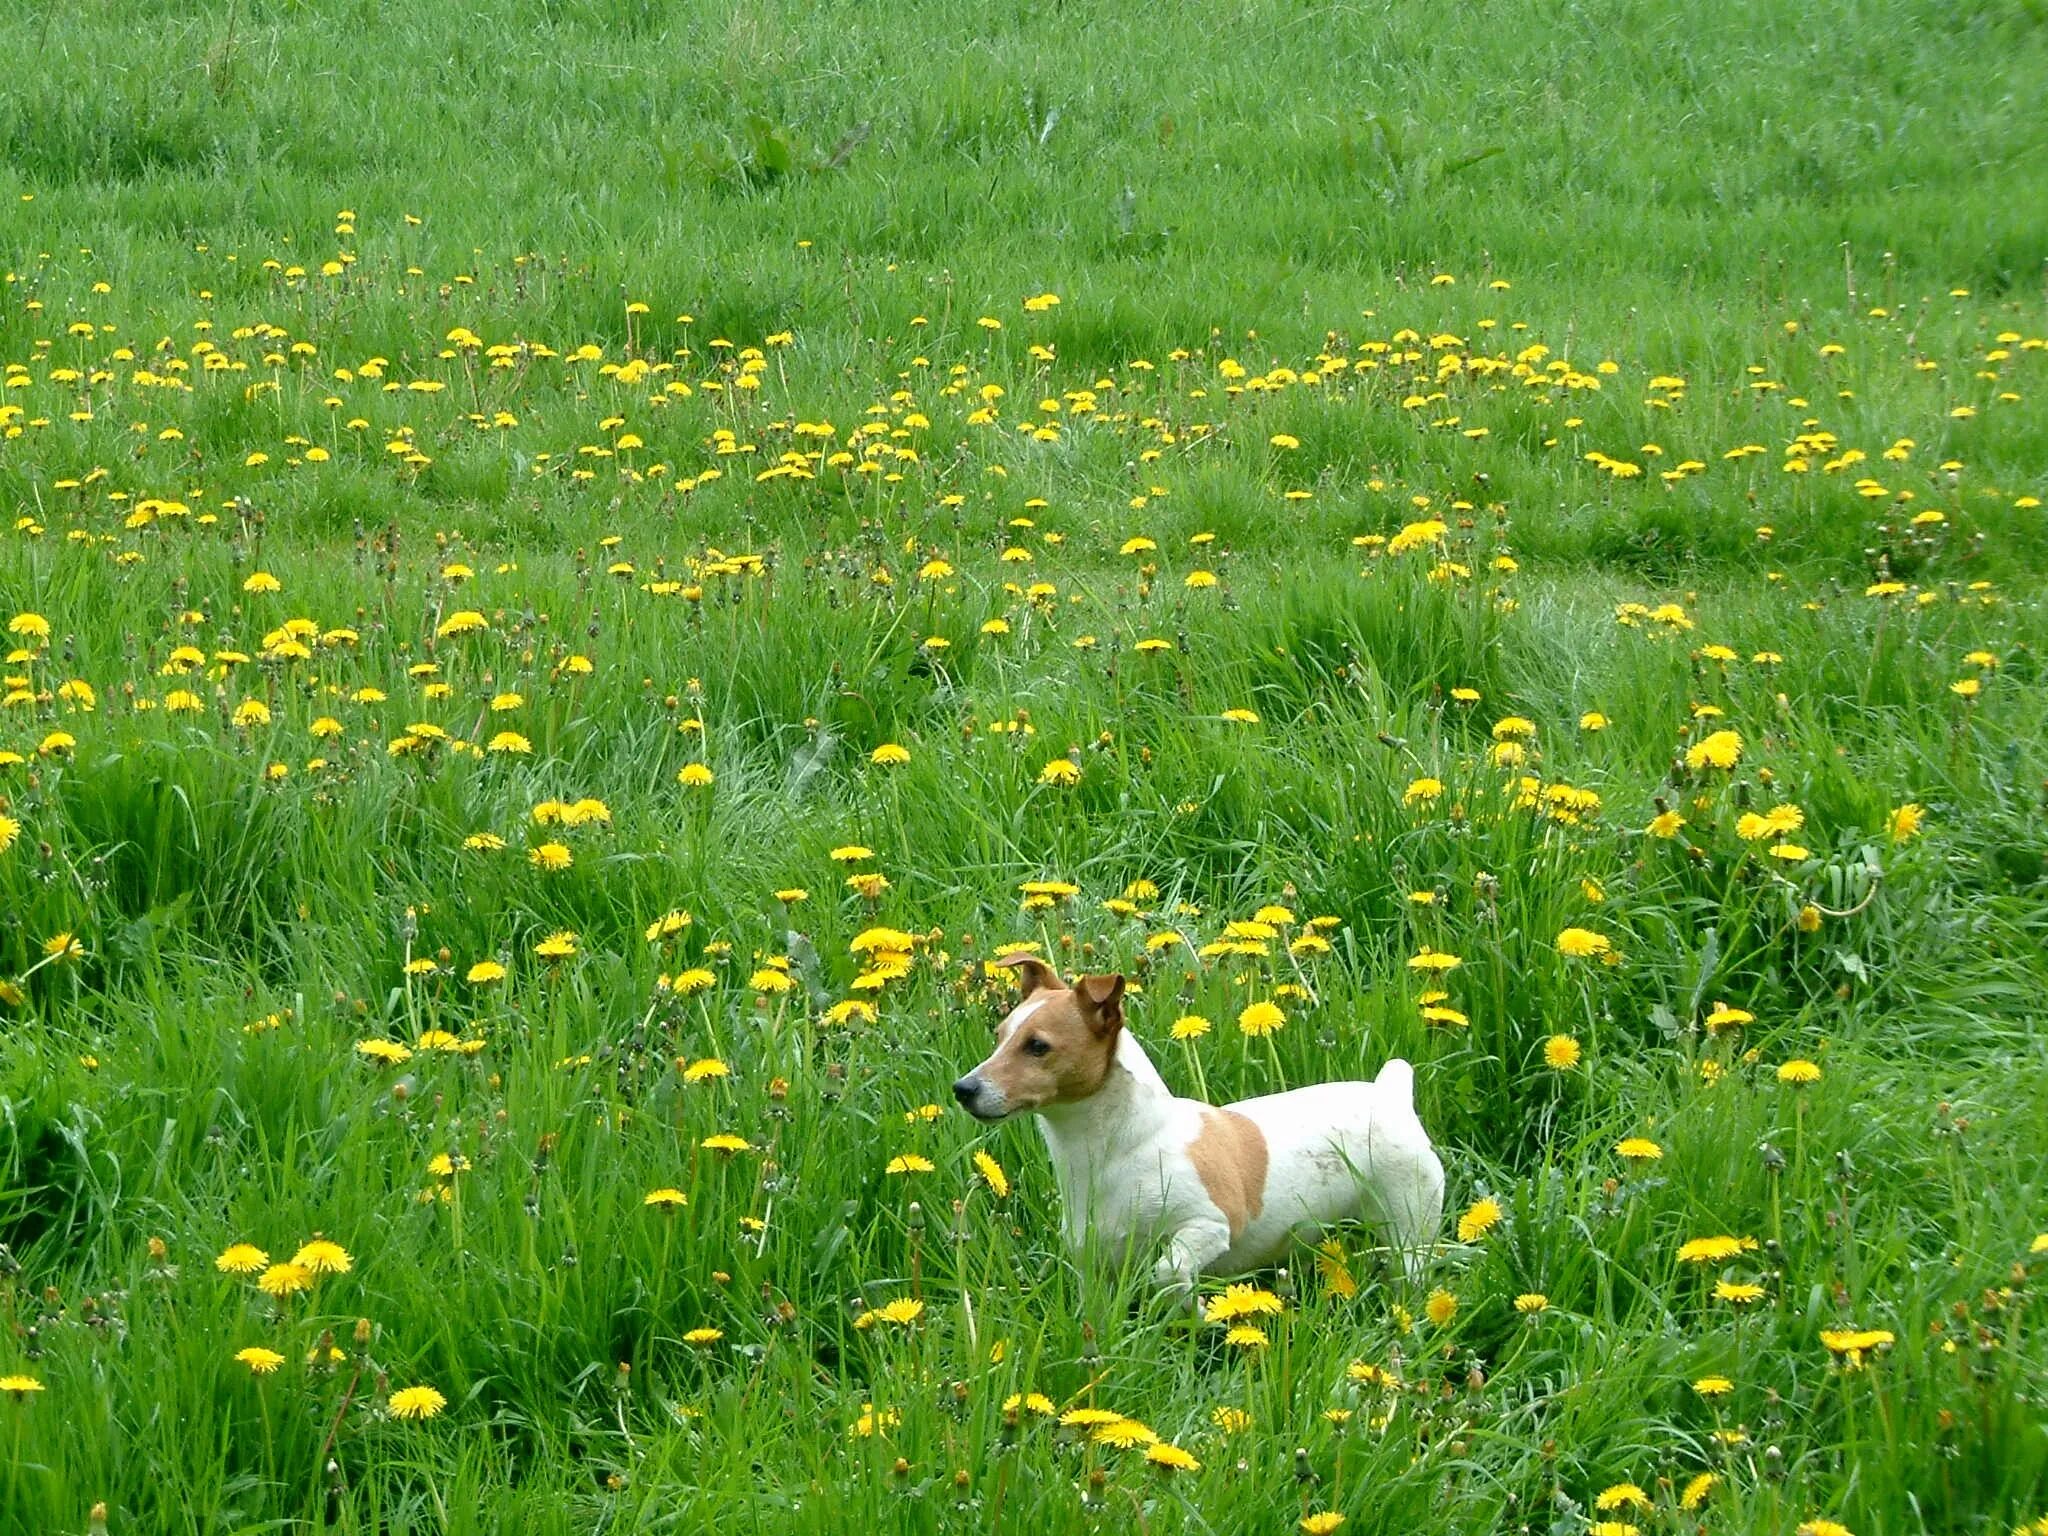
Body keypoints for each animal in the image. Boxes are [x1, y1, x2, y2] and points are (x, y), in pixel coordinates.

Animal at [954, 950, 1449, 1302]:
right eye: (999, 1037)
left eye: (1037, 1046)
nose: (963, 1089)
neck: (1122, 1146)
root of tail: (1390, 1094)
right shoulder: (1094, 1266)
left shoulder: (1210, 1226)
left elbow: (1169, 1272)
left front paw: (1194, 1311)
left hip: (1409, 1230)